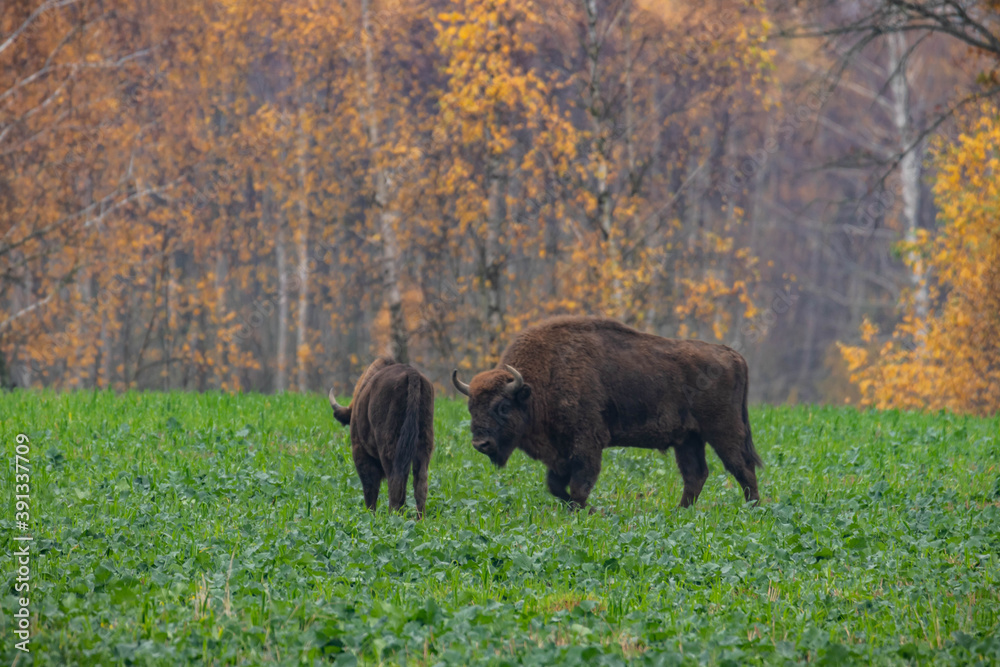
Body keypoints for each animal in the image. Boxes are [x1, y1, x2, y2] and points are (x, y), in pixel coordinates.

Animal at [330, 358, 436, 520]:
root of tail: (412, 375)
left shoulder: (360, 451)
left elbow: (370, 487)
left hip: (389, 447)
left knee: (395, 481)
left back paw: (392, 516)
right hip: (424, 445)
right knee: (420, 483)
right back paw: (419, 519)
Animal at [450, 316, 760, 508]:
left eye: (502, 406)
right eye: (471, 407)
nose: (480, 444)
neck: (538, 384)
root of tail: (733, 355)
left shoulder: (586, 443)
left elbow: (579, 486)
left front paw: (589, 513)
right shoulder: (560, 454)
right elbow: (556, 486)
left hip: (723, 431)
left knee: (742, 467)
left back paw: (753, 510)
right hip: (688, 439)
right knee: (696, 475)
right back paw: (679, 512)